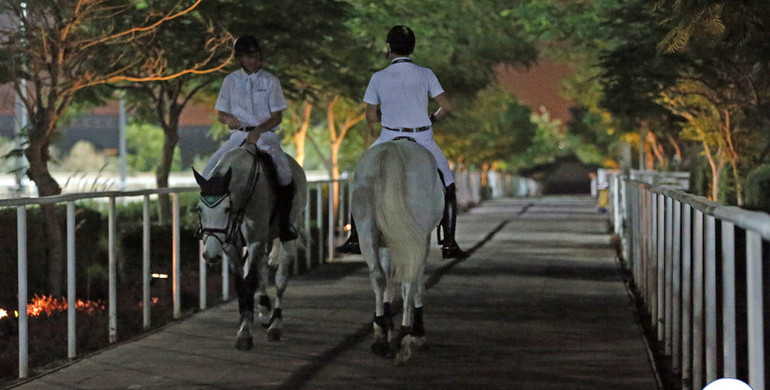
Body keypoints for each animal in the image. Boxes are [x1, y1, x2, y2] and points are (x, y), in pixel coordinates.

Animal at [192, 144, 306, 350]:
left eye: (226, 209)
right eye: (199, 209)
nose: (211, 256)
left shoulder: (255, 241)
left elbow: (250, 281)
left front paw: (245, 333)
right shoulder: (231, 246)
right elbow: (240, 284)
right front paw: (244, 319)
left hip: (288, 236)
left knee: (280, 279)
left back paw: (275, 324)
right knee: (262, 270)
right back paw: (264, 309)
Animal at [350, 138, 440, 366]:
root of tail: (390, 150)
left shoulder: (388, 241)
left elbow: (388, 278)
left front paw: (387, 325)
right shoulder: (422, 240)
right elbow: (417, 284)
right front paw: (418, 333)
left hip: (367, 229)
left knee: (378, 276)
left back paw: (380, 336)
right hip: (415, 237)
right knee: (408, 281)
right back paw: (406, 337)